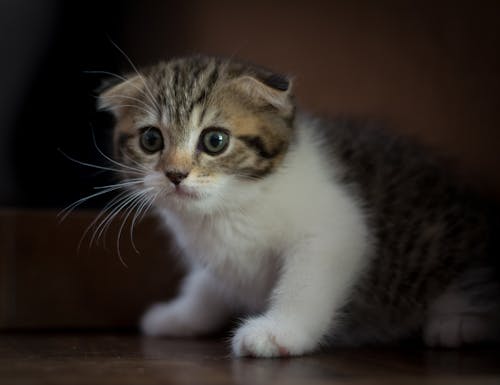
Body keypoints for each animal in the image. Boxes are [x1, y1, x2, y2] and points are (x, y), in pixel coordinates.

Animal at [97, 54, 500, 356]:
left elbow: (305, 281)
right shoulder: (221, 258)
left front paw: (278, 332)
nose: (175, 175)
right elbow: (207, 284)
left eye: (215, 141)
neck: (232, 206)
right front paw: (181, 315)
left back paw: (459, 322)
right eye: (151, 139)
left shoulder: (338, 228)